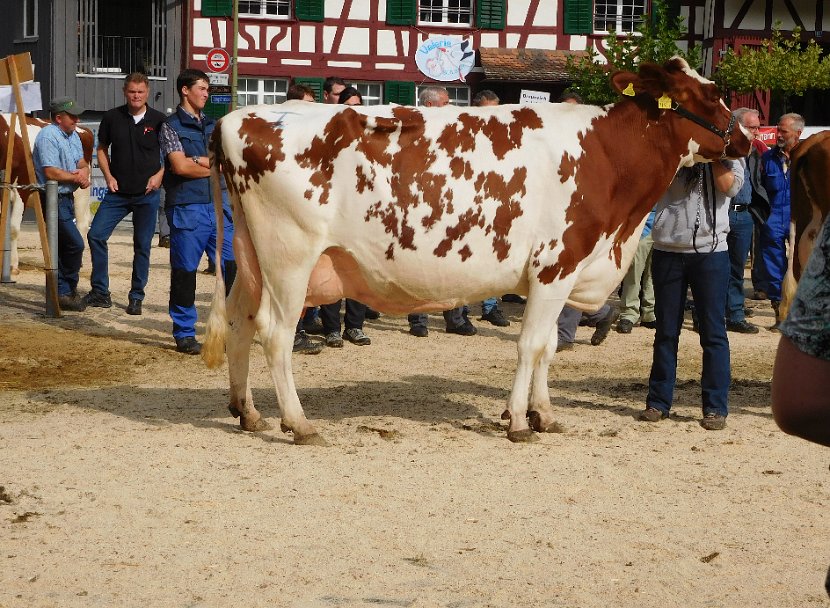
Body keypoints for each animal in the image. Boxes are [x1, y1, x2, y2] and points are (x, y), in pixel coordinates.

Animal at [203, 59, 752, 444]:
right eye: (709, 94)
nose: (747, 138)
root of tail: (237, 116)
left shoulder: (564, 271)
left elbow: (548, 347)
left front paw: (543, 413)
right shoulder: (555, 265)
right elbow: (531, 345)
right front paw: (518, 423)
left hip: (251, 260)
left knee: (239, 320)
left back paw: (247, 412)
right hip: (290, 258)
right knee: (275, 332)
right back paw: (299, 424)